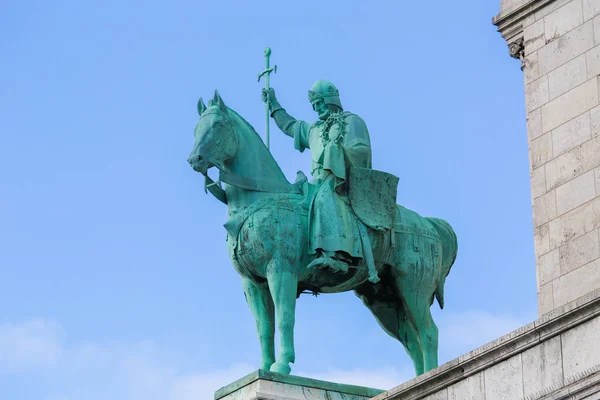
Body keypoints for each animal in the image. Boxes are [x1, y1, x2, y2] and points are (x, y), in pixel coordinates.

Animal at [189, 91, 460, 378]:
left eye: (217, 126)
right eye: (196, 129)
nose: (195, 160)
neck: (261, 199)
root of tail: (429, 224)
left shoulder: (280, 271)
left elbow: (285, 318)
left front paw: (282, 365)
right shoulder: (252, 283)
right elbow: (264, 327)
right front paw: (264, 366)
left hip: (413, 286)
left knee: (429, 333)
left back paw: (431, 376)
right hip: (384, 299)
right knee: (411, 339)